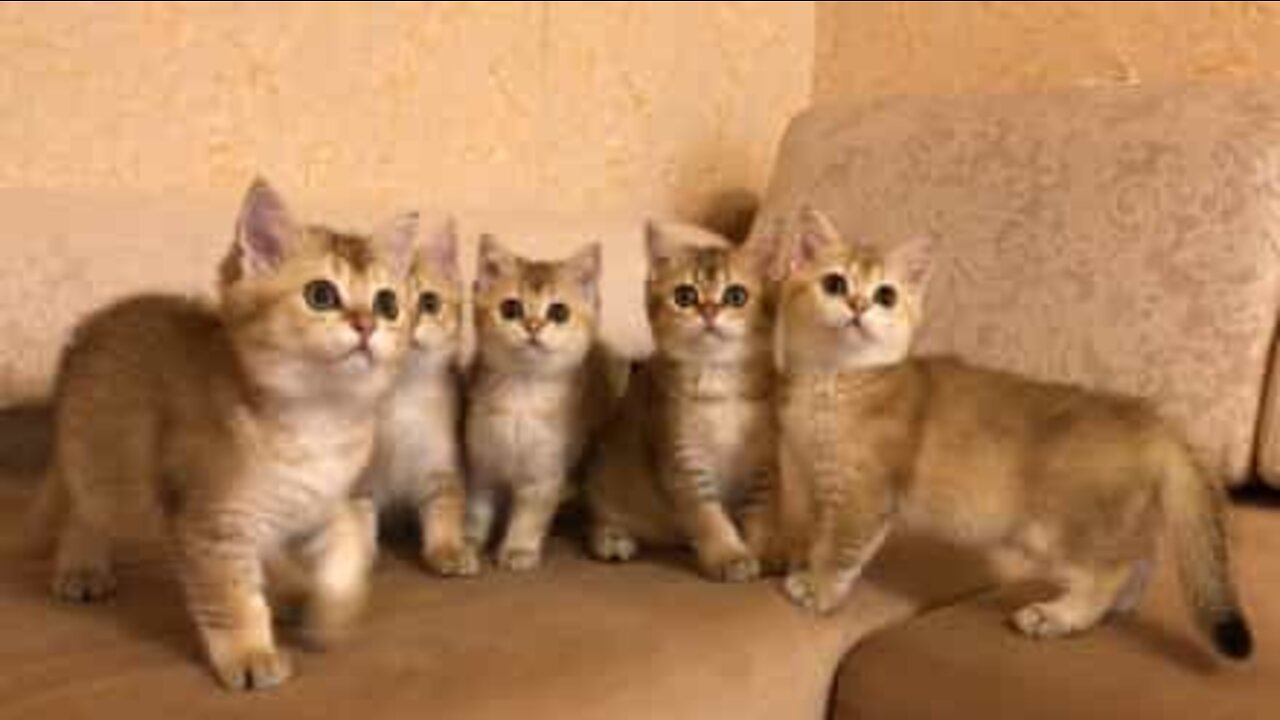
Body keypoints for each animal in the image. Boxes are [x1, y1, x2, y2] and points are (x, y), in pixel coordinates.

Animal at [31, 178, 419, 681]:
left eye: (387, 303)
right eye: (321, 295)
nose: (368, 325)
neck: (317, 421)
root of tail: (89, 325)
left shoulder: (315, 502)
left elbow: (351, 530)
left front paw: (331, 611)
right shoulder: (212, 519)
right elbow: (233, 597)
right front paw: (250, 654)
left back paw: (293, 592)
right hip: (104, 469)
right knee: (85, 510)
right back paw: (82, 565)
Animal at [355, 219, 481, 576]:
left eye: (429, 303)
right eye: (385, 303)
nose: (408, 329)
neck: (400, 396)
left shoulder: (442, 471)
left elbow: (445, 514)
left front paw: (449, 550)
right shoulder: (359, 483)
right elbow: (358, 520)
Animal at [465, 235, 614, 571]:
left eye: (559, 312)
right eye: (510, 308)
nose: (533, 326)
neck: (523, 393)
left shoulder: (544, 474)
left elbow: (530, 517)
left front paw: (518, 549)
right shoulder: (482, 465)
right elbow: (477, 509)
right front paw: (468, 540)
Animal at [586, 221, 783, 579]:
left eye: (736, 296)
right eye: (685, 296)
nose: (709, 312)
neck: (720, 382)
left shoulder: (765, 461)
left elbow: (763, 510)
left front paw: (767, 550)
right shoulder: (683, 459)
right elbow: (707, 516)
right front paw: (728, 556)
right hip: (607, 480)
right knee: (597, 519)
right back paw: (613, 539)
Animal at [768, 206, 1249, 655]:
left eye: (885, 295)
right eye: (834, 284)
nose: (857, 306)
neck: (834, 383)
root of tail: (1151, 417)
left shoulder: (864, 498)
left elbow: (840, 551)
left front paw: (821, 592)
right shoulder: (823, 491)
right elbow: (820, 539)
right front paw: (807, 571)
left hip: (1062, 529)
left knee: (1110, 571)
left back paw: (1059, 616)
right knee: (1143, 557)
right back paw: (1119, 605)